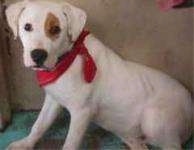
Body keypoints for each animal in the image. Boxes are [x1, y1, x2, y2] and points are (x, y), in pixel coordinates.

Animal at [5, 0, 192, 150]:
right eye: (27, 27)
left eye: (56, 29)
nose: (37, 55)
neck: (68, 58)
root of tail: (191, 102)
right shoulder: (53, 100)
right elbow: (39, 125)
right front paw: (24, 144)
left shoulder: (81, 113)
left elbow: (70, 143)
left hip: (154, 120)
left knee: (172, 146)